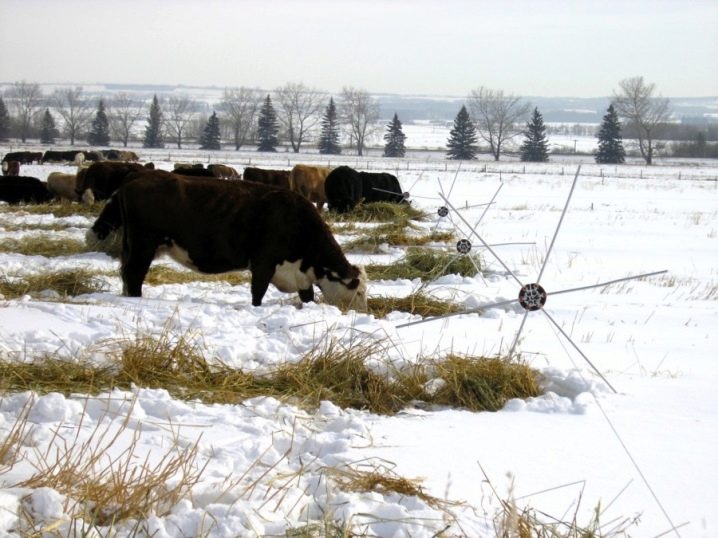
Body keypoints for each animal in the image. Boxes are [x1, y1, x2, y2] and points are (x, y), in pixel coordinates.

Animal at [89, 168, 368, 310]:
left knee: (126, 275)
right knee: (134, 275)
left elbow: (307, 296)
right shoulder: (263, 263)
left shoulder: (299, 274)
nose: (361, 312)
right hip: (143, 245)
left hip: (132, 246)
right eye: (360, 291)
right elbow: (258, 293)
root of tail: (137, 177)